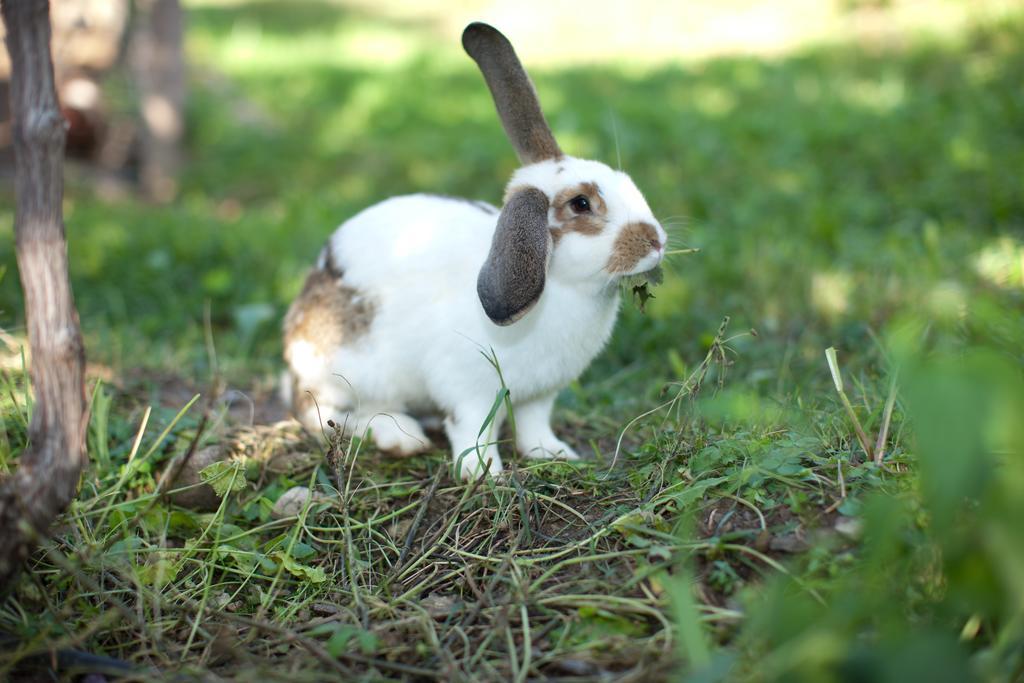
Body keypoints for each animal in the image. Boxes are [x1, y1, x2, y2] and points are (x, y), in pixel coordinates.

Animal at [282, 22, 663, 481]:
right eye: (581, 204)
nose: (655, 241)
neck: (558, 288)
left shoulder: (541, 394)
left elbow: (534, 425)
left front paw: (555, 454)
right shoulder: (468, 388)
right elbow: (472, 430)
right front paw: (484, 474)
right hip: (349, 369)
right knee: (325, 413)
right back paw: (402, 438)